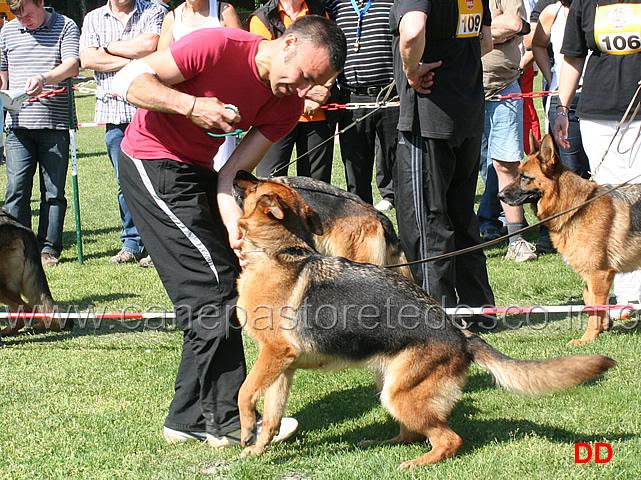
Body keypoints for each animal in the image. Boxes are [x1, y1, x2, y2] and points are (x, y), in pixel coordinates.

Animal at [231, 172, 616, 468]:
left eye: (257, 184)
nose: (237, 174)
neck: (280, 252)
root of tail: (462, 336)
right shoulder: (283, 367)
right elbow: (272, 414)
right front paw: (258, 448)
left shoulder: (274, 355)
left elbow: (244, 391)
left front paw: (246, 428)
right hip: (391, 387)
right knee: (414, 432)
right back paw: (385, 444)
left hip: (400, 396)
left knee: (448, 439)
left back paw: (419, 462)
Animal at [498, 134, 640, 344]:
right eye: (517, 175)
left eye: (524, 178)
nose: (499, 195)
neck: (577, 207)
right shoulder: (591, 276)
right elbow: (589, 300)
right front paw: (604, 325)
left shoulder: (599, 274)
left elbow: (595, 306)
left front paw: (587, 338)